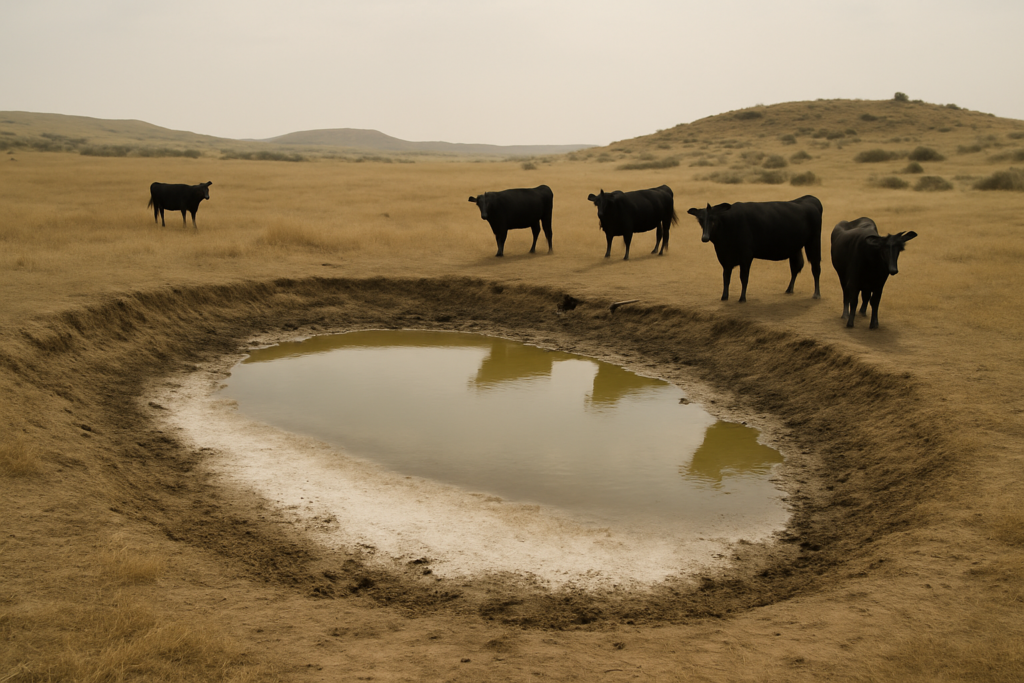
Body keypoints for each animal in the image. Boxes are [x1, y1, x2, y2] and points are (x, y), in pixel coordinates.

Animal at [686, 195, 823, 302]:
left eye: (713, 219)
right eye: (700, 220)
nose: (705, 237)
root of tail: (810, 198)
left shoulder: (746, 256)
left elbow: (744, 277)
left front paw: (742, 298)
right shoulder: (725, 258)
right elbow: (726, 277)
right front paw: (724, 297)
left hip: (814, 242)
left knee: (815, 267)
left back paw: (816, 294)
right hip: (795, 247)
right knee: (796, 266)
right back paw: (789, 289)